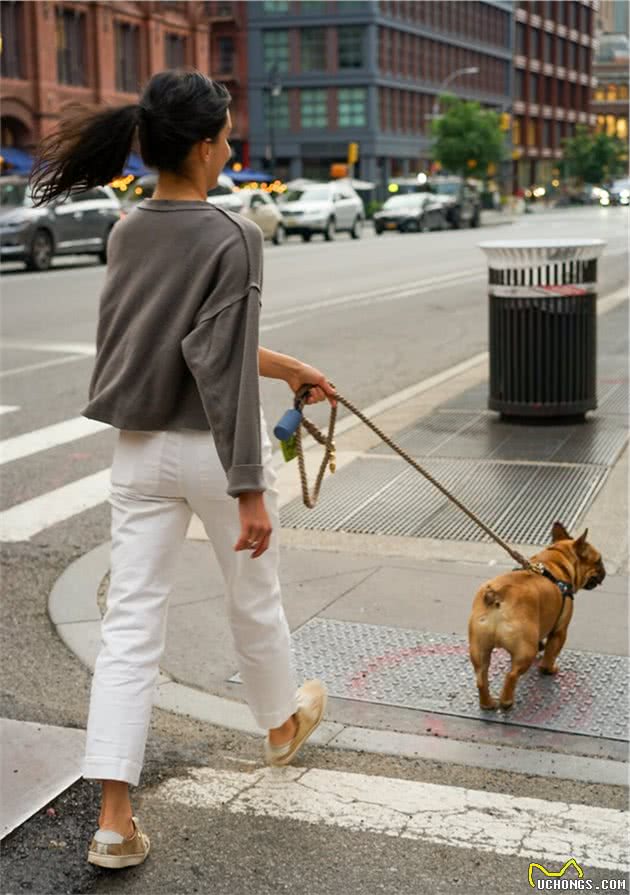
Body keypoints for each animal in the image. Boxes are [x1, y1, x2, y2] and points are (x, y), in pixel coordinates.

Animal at [470, 520, 608, 712]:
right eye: (598, 561)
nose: (604, 571)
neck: (556, 562)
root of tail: (497, 595)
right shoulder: (560, 630)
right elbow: (551, 652)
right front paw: (549, 668)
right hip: (525, 651)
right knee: (512, 675)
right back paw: (506, 701)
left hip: (479, 648)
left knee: (481, 678)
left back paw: (487, 703)